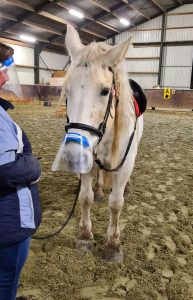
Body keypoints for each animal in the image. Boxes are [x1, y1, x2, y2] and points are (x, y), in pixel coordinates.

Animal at [52, 24, 143, 262]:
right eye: (67, 90)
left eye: (105, 91)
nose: (72, 155)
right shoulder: (87, 161)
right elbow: (85, 198)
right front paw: (85, 235)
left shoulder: (124, 164)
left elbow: (116, 203)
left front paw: (113, 245)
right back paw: (101, 189)